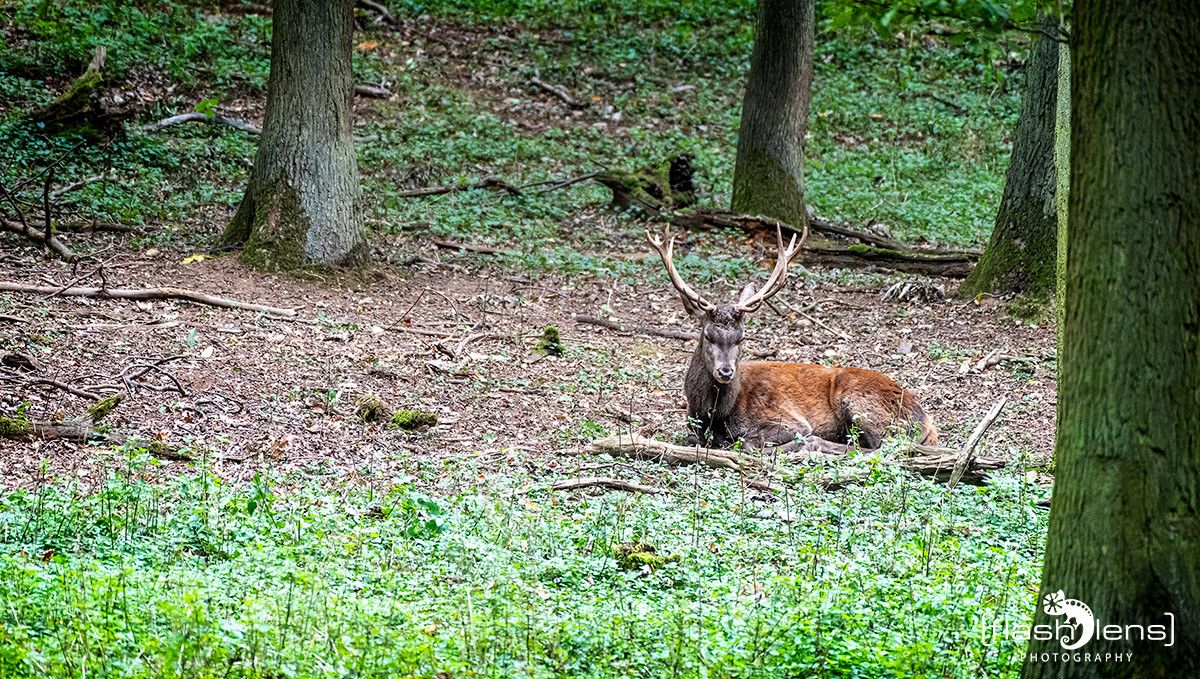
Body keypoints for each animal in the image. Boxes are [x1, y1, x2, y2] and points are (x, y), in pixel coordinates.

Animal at [648, 226, 936, 455]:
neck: (713, 414)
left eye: (742, 338)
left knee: (885, 447)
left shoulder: (789, 419)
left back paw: (813, 445)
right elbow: (693, 437)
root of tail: (927, 423)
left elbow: (749, 442)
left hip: (860, 402)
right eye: (708, 335)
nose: (726, 371)